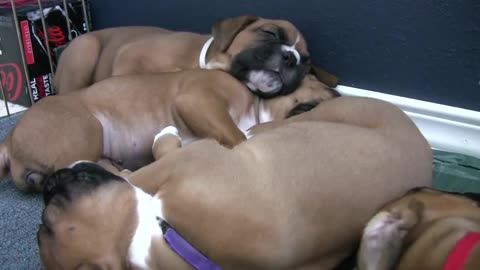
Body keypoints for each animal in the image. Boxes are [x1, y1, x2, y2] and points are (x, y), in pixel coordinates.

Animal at [0, 70, 338, 192]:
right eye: (316, 82)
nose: (338, 94)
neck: (255, 105)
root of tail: (10, 138)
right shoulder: (199, 101)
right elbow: (237, 136)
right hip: (86, 131)